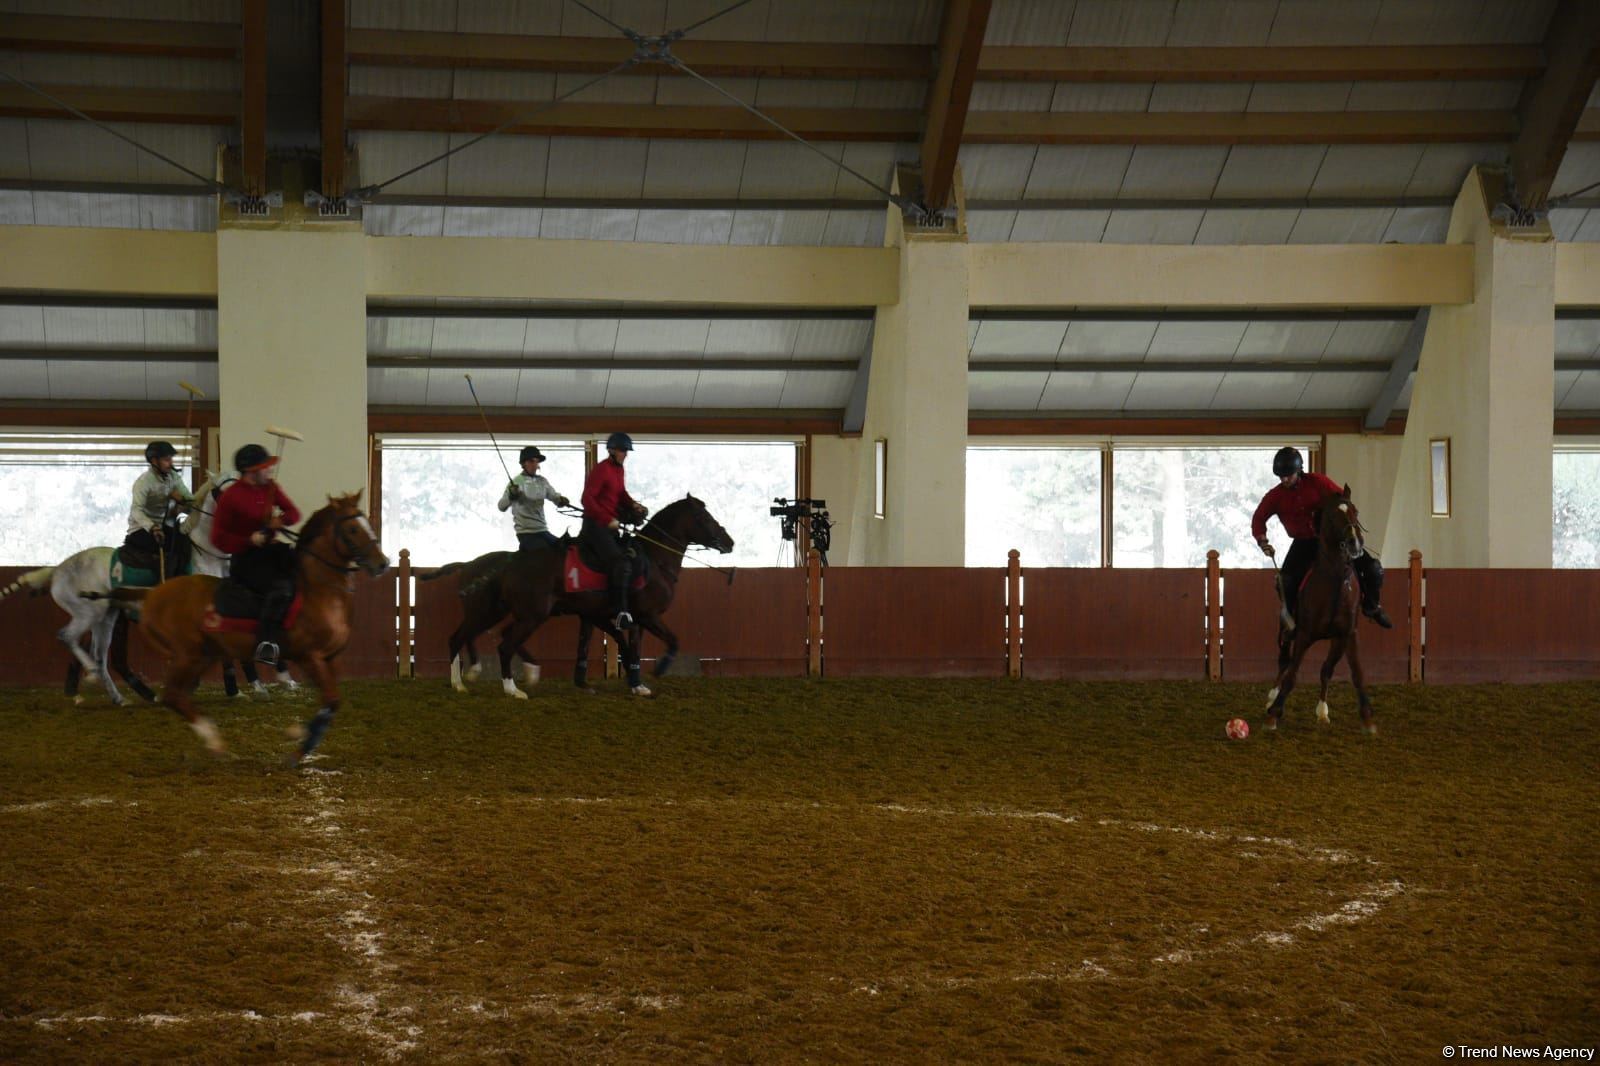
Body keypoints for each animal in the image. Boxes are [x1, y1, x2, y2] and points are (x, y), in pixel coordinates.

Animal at [122, 492, 390, 758]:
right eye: (353, 529)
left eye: (367, 522)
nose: (383, 564)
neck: (319, 590)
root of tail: (154, 594)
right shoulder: (309, 657)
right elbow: (331, 700)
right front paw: (297, 741)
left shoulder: (331, 658)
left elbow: (331, 703)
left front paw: (301, 739)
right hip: (188, 655)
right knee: (172, 696)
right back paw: (215, 741)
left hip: (204, 654)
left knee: (177, 696)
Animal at [444, 496, 732, 697]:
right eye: (704, 516)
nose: (729, 542)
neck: (654, 560)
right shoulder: (645, 616)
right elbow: (671, 640)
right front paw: (658, 669)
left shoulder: (605, 616)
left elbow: (622, 646)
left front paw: (634, 683)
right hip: (527, 615)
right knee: (502, 644)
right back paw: (511, 689)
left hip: (494, 611)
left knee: (463, 637)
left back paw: (462, 682)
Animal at [1260, 486, 1376, 736]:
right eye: (1332, 516)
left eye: (1355, 510)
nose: (1354, 542)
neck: (1333, 581)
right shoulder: (1304, 635)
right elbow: (1292, 675)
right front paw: (1274, 713)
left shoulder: (1347, 635)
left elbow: (1355, 673)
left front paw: (1367, 717)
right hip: (1285, 632)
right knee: (1284, 662)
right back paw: (1271, 697)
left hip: (1335, 641)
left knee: (1325, 670)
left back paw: (1322, 711)